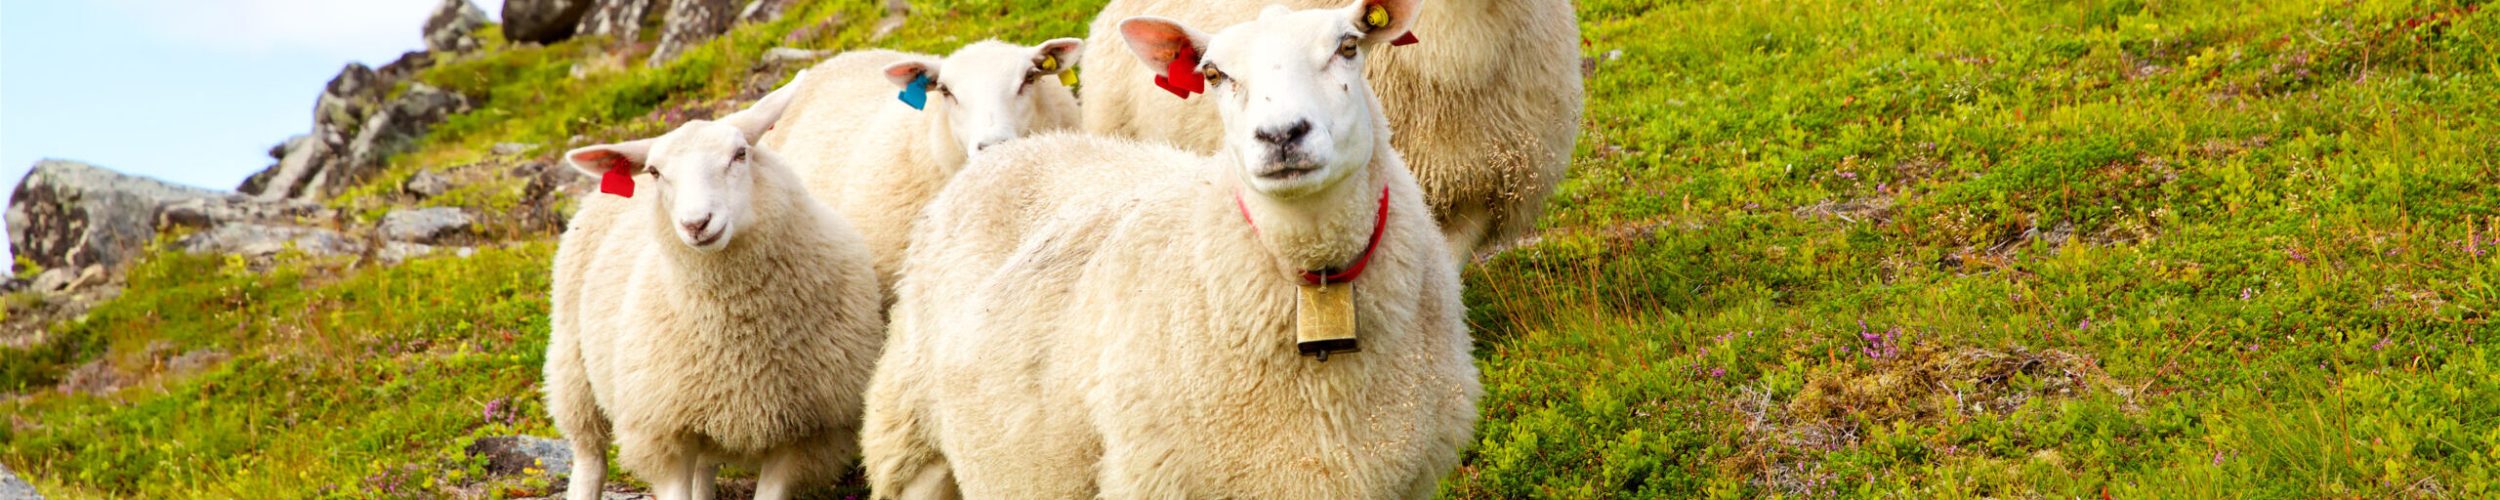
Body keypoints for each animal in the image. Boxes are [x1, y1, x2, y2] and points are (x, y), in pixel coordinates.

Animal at [544, 72, 883, 500]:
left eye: (740, 154)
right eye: (654, 172)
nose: (696, 223)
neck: (738, 337)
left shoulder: (804, 438)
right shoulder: (663, 434)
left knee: (704, 470)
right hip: (573, 371)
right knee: (590, 458)